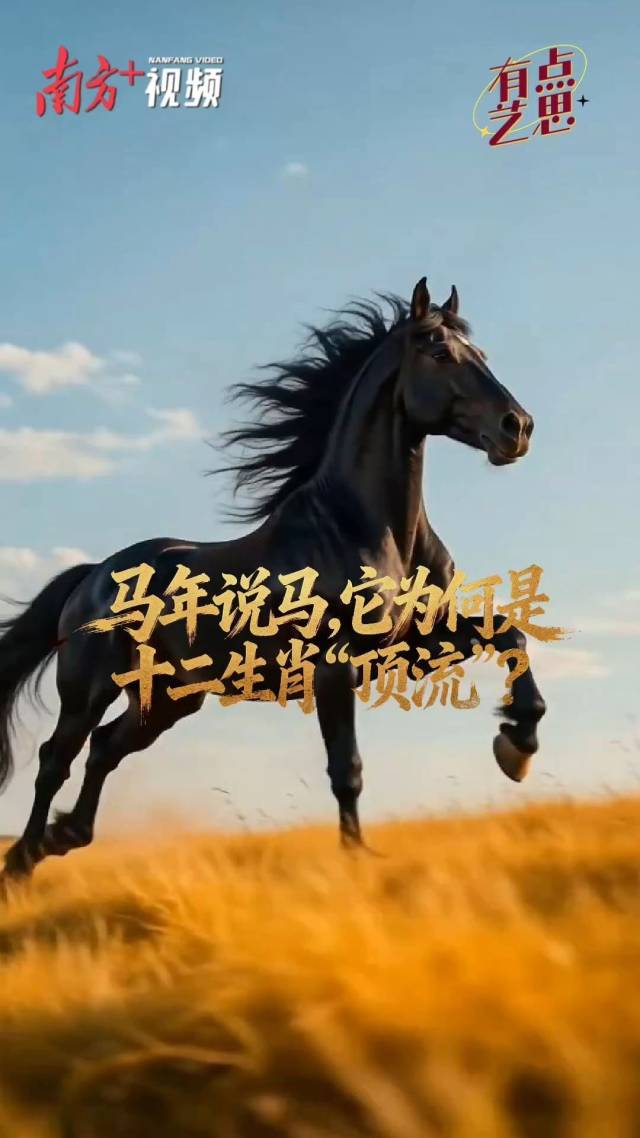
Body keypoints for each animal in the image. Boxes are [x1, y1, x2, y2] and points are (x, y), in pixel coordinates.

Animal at [0, 276, 546, 884]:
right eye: (439, 351)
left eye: (483, 354)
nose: (517, 428)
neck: (365, 530)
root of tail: (89, 577)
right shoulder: (334, 667)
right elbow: (346, 766)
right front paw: (356, 858)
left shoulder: (413, 645)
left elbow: (509, 635)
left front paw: (517, 745)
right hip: (90, 688)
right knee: (57, 757)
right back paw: (22, 861)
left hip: (168, 699)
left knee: (103, 748)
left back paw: (62, 837)